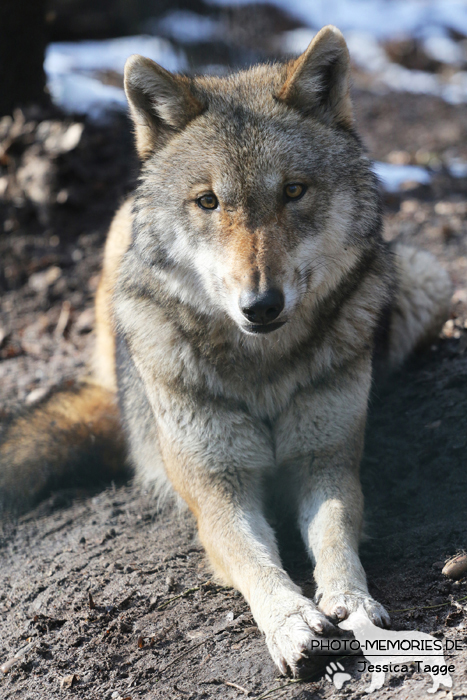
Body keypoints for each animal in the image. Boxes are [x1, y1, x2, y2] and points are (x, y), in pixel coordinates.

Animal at [0, 27, 454, 680]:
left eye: (293, 191)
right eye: (209, 202)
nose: (260, 305)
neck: (262, 372)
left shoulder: (326, 463)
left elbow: (337, 535)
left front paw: (352, 601)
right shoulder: (219, 490)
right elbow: (255, 561)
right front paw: (292, 622)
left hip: (430, 280)